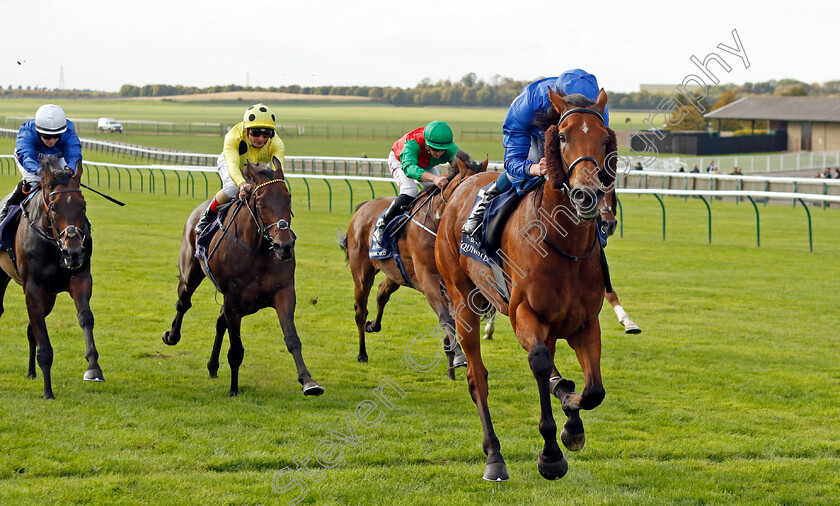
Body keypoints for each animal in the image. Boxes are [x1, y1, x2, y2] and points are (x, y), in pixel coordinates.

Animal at [0, 158, 102, 400]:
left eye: (83, 205)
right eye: (54, 207)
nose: (74, 252)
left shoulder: (79, 278)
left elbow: (85, 317)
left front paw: (93, 367)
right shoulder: (33, 289)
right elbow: (43, 342)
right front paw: (48, 391)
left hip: (50, 297)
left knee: (31, 330)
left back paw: (31, 372)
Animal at [162, 156, 324, 398]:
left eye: (288, 198)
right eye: (260, 202)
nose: (284, 246)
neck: (257, 250)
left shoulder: (283, 291)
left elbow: (292, 338)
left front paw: (308, 381)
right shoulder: (233, 298)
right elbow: (236, 348)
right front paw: (234, 389)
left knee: (219, 321)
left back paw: (212, 366)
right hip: (190, 273)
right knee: (183, 303)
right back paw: (172, 336)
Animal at [340, 150, 488, 380]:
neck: (436, 223)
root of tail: (362, 208)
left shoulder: (451, 283)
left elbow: (455, 320)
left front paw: (451, 365)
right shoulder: (428, 279)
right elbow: (446, 318)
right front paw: (458, 357)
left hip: (395, 274)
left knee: (382, 293)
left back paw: (373, 325)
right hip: (362, 273)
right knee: (360, 310)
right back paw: (362, 353)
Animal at [436, 89, 612, 480]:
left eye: (604, 137)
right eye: (562, 137)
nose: (587, 194)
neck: (563, 244)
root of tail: (459, 188)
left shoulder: (585, 322)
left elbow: (592, 390)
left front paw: (571, 420)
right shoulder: (523, 313)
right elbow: (541, 363)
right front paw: (550, 455)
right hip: (462, 300)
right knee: (478, 378)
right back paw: (494, 456)